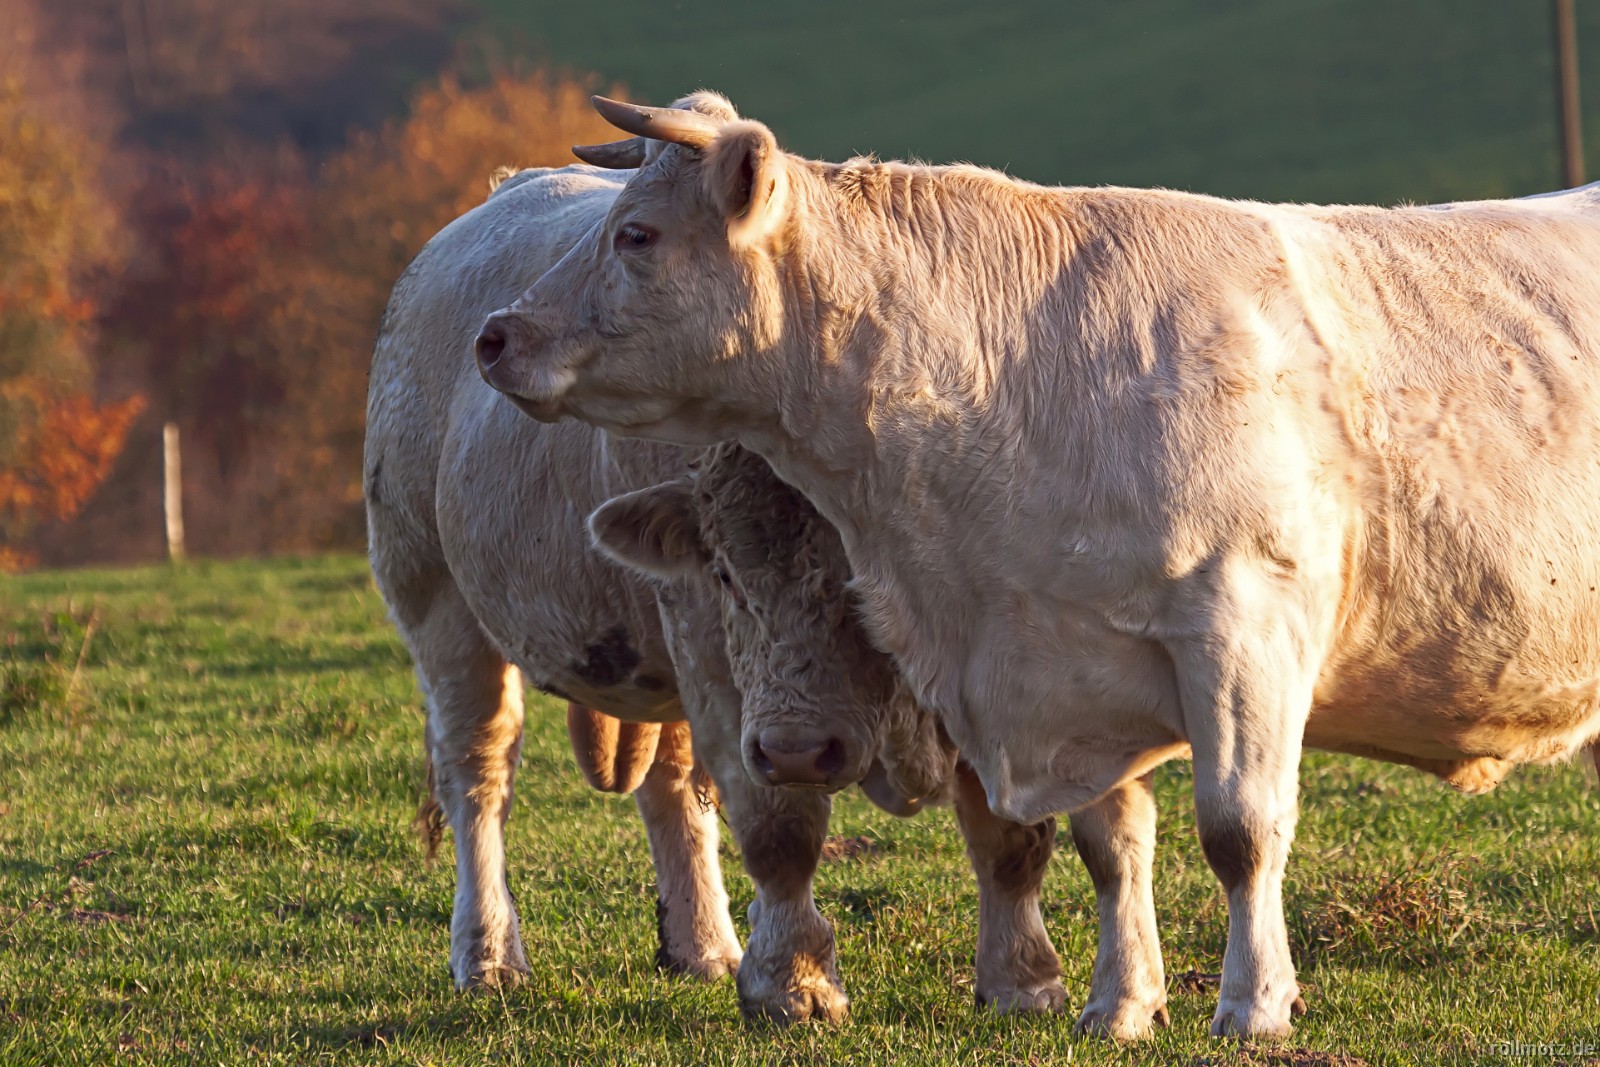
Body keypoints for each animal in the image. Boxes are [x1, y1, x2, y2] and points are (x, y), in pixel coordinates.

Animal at [363, 95, 1086, 1021]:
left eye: (635, 234)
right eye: (735, 573)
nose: (497, 338)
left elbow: (1010, 831)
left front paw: (1022, 981)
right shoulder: (719, 633)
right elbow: (780, 825)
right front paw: (794, 981)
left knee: (672, 785)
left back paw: (701, 943)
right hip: (438, 601)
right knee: (478, 772)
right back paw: (488, 952)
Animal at [472, 93, 1600, 1038]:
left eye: (635, 234)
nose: (493, 334)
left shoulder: (1246, 627)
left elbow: (1240, 831)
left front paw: (1252, 1006)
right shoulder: (1079, 659)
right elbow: (1113, 846)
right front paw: (1118, 1004)